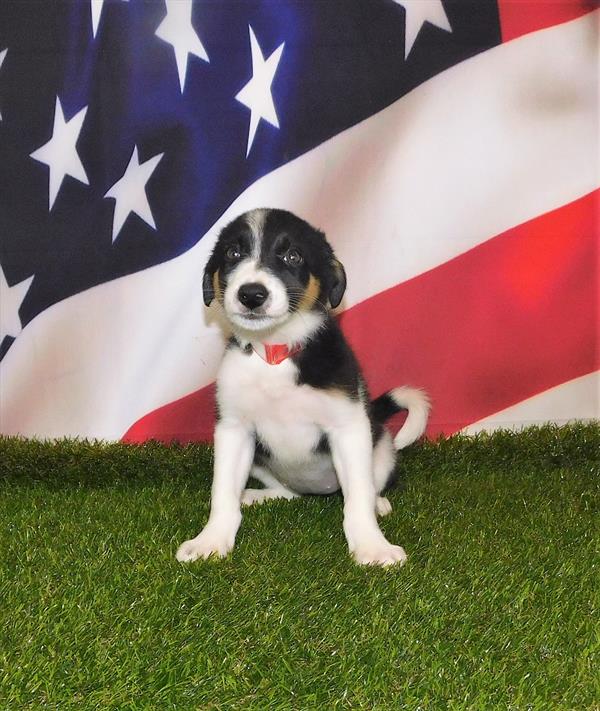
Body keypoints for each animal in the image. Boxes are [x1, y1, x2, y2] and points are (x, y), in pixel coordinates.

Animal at [176, 206, 428, 568]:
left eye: (293, 256)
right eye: (233, 253)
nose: (251, 294)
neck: (275, 352)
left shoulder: (347, 428)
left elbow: (357, 499)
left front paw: (372, 546)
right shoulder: (234, 430)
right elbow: (221, 493)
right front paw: (211, 540)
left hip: (381, 448)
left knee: (369, 486)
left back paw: (378, 503)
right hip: (261, 459)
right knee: (286, 491)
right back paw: (257, 495)